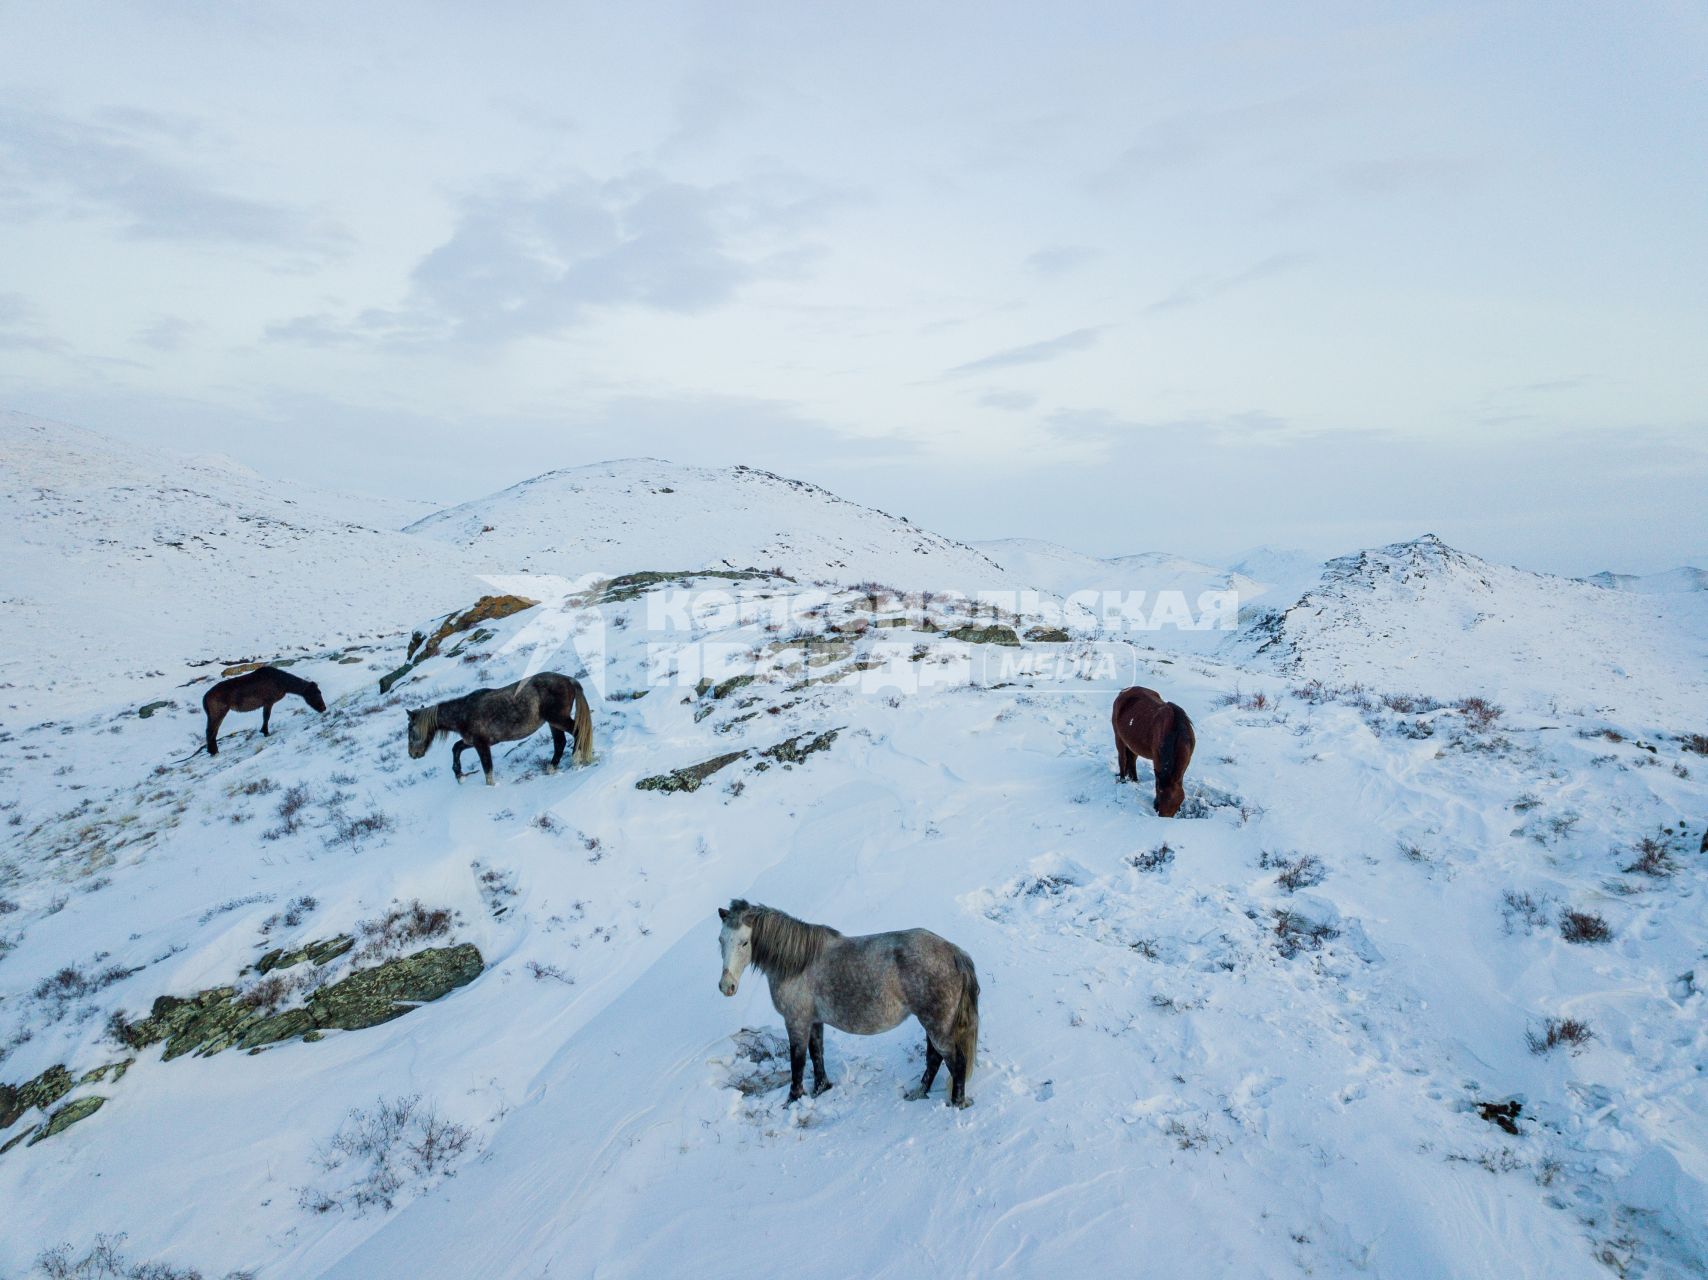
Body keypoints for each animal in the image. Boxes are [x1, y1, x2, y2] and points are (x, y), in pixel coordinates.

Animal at [409, 673, 597, 782]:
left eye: (410, 730)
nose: (413, 754)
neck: (464, 712)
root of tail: (569, 680)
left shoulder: (481, 745)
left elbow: (487, 768)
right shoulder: (474, 742)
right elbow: (456, 748)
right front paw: (459, 775)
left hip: (557, 719)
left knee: (577, 733)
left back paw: (576, 760)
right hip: (553, 723)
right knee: (560, 743)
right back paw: (552, 768)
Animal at [1113, 683, 1195, 813]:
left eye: (1177, 804)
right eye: (1160, 795)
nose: (1161, 815)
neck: (1175, 730)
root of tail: (1123, 692)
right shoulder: (1157, 758)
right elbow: (1157, 781)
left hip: (1133, 744)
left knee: (1132, 760)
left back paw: (1135, 780)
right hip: (1119, 738)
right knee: (1123, 759)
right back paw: (1123, 780)